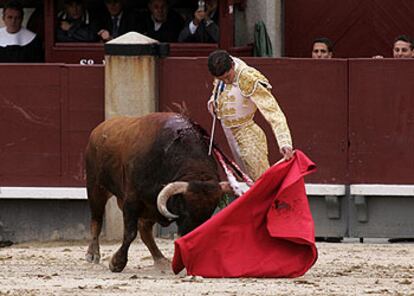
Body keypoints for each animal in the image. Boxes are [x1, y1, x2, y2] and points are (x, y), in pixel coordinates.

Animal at [83, 112, 230, 272]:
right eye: (184, 210)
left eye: (209, 213)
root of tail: (98, 130)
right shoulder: (132, 200)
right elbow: (130, 232)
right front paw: (116, 263)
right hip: (96, 187)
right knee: (96, 220)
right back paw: (92, 255)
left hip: (149, 208)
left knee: (145, 230)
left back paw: (160, 259)